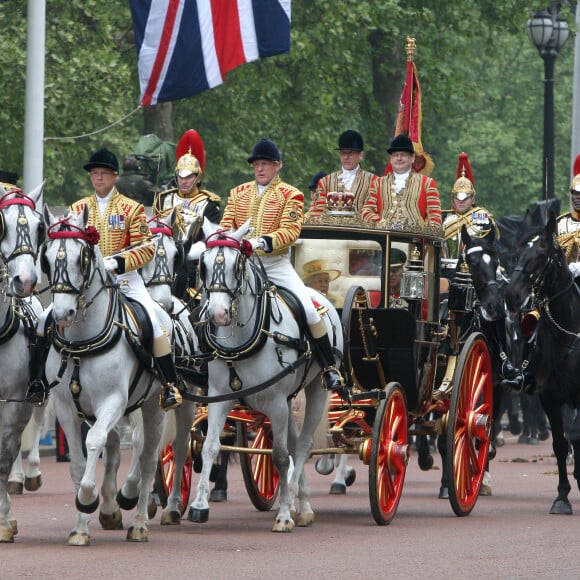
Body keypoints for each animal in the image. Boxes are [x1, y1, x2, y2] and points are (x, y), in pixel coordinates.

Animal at [40, 206, 170, 548]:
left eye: (82, 257)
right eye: (47, 258)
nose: (63, 315)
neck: (81, 345)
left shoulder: (113, 401)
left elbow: (94, 440)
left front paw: (88, 498)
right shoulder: (66, 407)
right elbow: (78, 460)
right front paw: (80, 528)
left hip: (154, 405)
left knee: (147, 455)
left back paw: (138, 521)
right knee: (114, 450)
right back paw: (112, 508)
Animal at [186, 220, 342, 532]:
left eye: (237, 264)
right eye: (203, 264)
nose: (218, 314)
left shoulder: (276, 402)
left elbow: (280, 456)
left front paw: (283, 515)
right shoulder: (220, 397)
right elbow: (210, 446)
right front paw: (198, 505)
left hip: (315, 391)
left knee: (303, 445)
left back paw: (295, 501)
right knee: (295, 442)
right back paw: (302, 504)